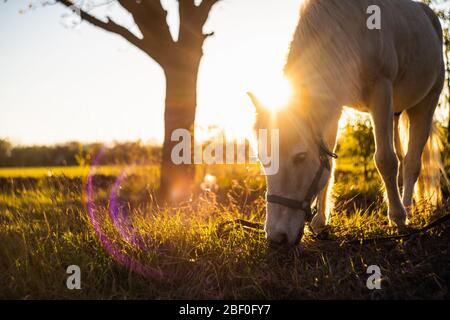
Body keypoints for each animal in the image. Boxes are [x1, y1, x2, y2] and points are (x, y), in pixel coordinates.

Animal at [250, 0, 446, 245]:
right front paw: (320, 221)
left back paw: (406, 210)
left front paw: (398, 218)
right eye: (263, 159)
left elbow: (385, 160)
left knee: (411, 162)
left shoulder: (381, 89)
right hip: (395, 112)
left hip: (427, 101)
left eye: (301, 157)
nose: (277, 237)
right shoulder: (333, 106)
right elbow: (329, 163)